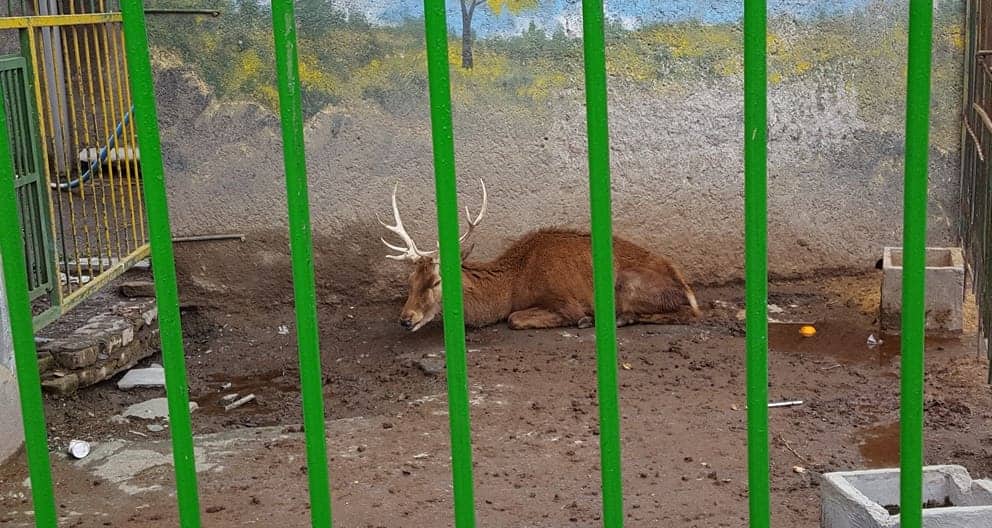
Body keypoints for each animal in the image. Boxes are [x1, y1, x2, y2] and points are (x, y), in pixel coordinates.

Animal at [376, 179, 700, 332]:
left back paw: (624, 318)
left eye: (436, 281)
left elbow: (515, 318)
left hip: (628, 283)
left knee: (690, 314)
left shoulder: (566, 300)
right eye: (409, 282)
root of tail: (685, 285)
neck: (511, 286)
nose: (405, 319)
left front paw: (585, 321)